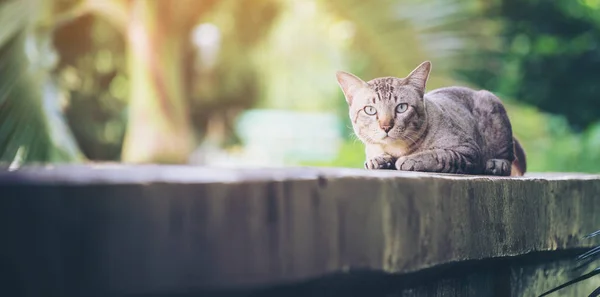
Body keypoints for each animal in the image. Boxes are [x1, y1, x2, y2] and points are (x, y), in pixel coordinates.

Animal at [336, 60, 528, 176]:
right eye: (370, 110)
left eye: (401, 107)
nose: (386, 126)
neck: (398, 150)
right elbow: (376, 156)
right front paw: (378, 160)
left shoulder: (468, 150)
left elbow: (440, 155)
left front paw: (411, 160)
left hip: (493, 106)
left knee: (507, 157)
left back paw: (496, 164)